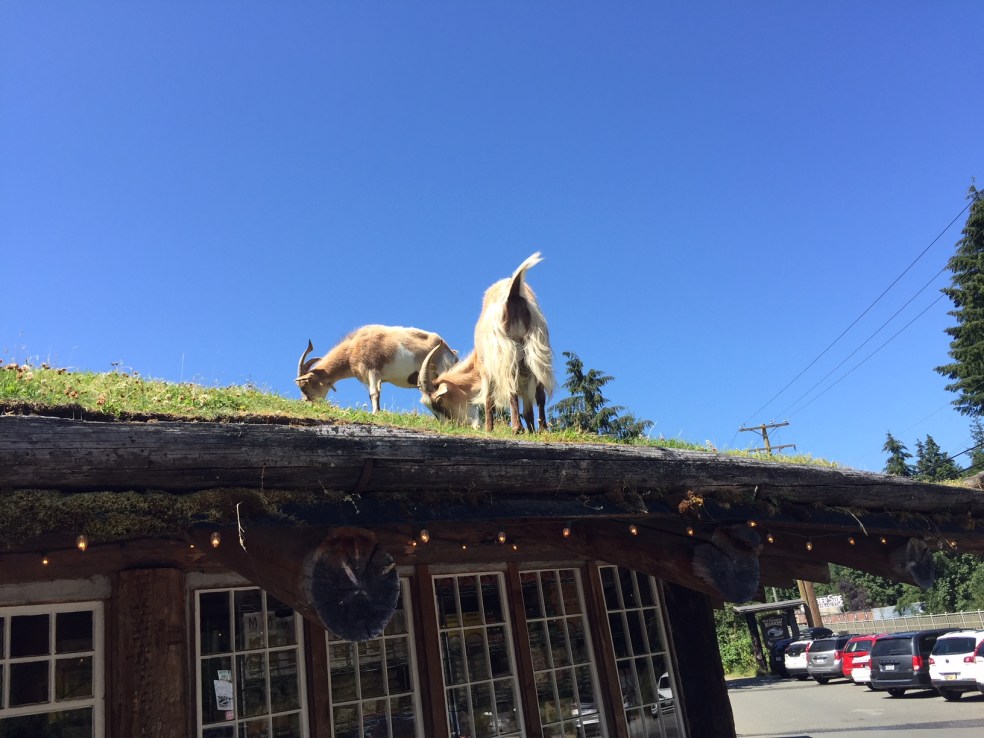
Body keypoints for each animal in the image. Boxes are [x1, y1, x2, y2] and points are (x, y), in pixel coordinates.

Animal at [296, 325, 457, 413]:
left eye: (305, 385)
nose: (306, 403)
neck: (353, 347)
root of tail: (450, 352)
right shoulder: (368, 378)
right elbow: (373, 395)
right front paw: (377, 411)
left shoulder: (373, 370)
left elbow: (374, 394)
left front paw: (374, 413)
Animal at [418, 253, 554, 432]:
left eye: (439, 402)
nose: (451, 426)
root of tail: (513, 292)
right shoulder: (525, 372)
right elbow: (528, 409)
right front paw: (532, 431)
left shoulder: (486, 368)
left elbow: (489, 400)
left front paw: (489, 429)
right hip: (537, 348)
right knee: (540, 390)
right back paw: (543, 428)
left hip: (504, 351)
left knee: (510, 386)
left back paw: (516, 428)